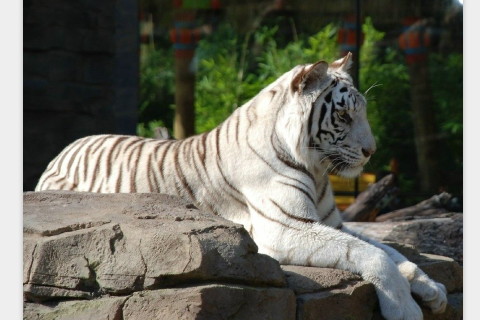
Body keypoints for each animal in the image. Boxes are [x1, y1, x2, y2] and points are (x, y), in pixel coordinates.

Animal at [36, 53, 446, 320]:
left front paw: (433, 290)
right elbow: (372, 254)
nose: (370, 151)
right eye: (345, 115)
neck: (316, 168)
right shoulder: (282, 227)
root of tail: (64, 150)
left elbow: (391, 250)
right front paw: (405, 309)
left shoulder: (334, 222)